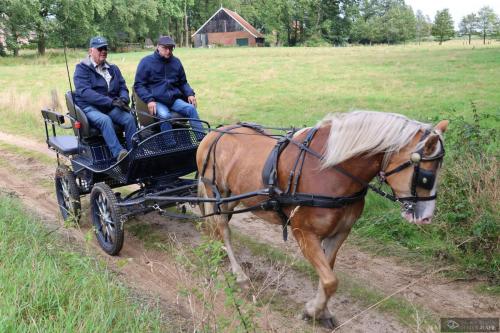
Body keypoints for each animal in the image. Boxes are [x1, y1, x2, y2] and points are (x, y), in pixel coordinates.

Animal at [195, 111, 450, 326]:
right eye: (425, 176)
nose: (426, 218)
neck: (328, 170)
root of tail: (214, 134)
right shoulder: (304, 233)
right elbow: (330, 280)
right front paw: (312, 310)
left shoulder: (339, 233)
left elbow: (327, 274)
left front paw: (322, 312)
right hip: (216, 193)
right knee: (222, 228)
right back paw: (238, 273)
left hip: (231, 198)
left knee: (218, 226)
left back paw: (215, 250)